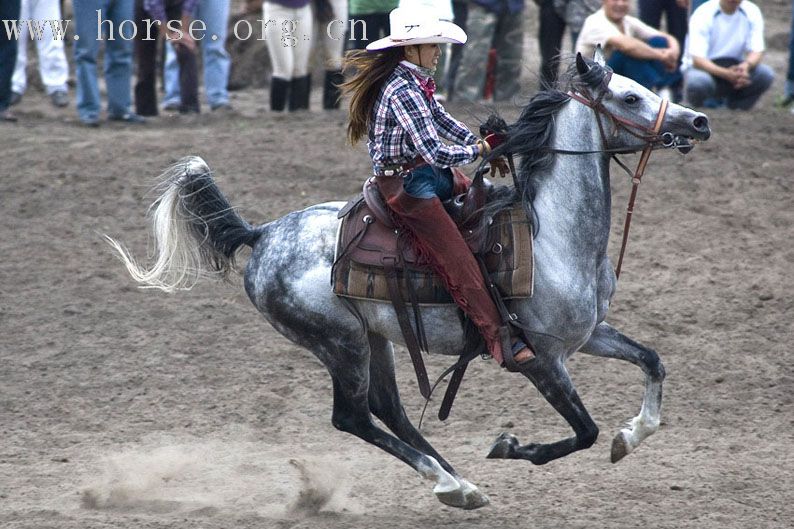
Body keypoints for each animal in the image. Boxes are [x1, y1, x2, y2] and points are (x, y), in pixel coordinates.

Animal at [108, 52, 708, 508]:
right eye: (630, 97)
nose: (699, 121)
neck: (552, 235)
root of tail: (263, 235)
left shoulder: (587, 337)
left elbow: (653, 362)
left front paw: (630, 436)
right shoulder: (539, 356)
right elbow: (583, 431)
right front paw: (512, 446)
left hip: (376, 338)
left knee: (388, 409)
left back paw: (461, 483)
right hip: (339, 343)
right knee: (352, 416)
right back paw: (448, 482)